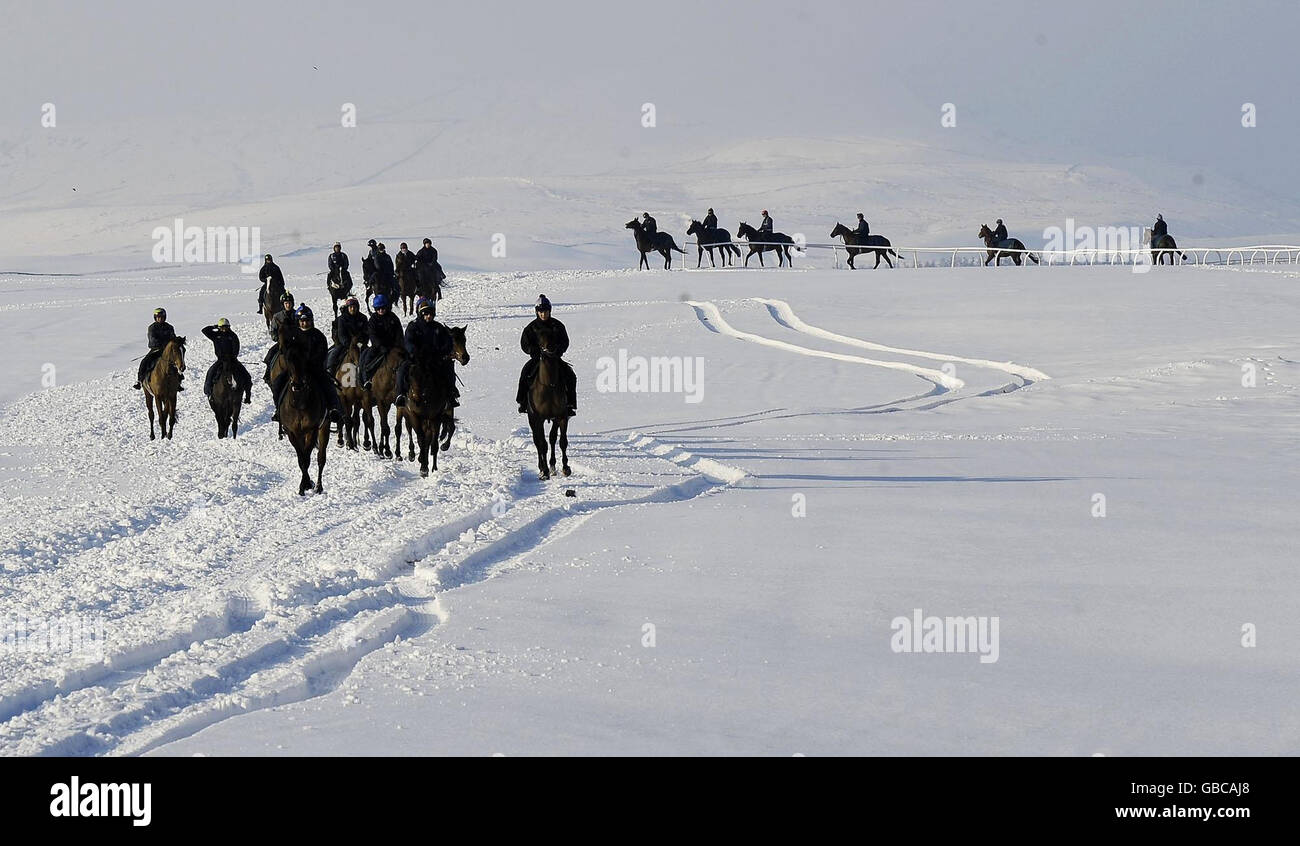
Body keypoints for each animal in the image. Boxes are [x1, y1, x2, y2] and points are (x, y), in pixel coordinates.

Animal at [276, 324, 330, 496]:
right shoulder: (292, 432)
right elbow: (301, 459)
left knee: (321, 458)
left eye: (305, 357)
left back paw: (319, 486)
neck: (299, 403)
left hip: (324, 427)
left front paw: (307, 484)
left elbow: (307, 458)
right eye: (288, 358)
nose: (297, 385)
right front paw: (303, 485)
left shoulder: (311, 430)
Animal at [403, 327, 475, 480]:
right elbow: (422, 439)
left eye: (464, 340)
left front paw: (433, 463)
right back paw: (415, 456)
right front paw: (423, 467)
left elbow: (441, 435)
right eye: (452, 339)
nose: (465, 357)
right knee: (412, 432)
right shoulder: (415, 415)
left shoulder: (439, 414)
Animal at [525, 337, 572, 483]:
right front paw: (544, 472)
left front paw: (565, 468)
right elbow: (542, 444)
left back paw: (552, 467)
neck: (549, 386)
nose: (550, 347)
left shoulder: (561, 416)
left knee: (551, 439)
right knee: (537, 441)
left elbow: (561, 441)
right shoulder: (538, 419)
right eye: (540, 337)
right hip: (532, 419)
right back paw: (542, 468)